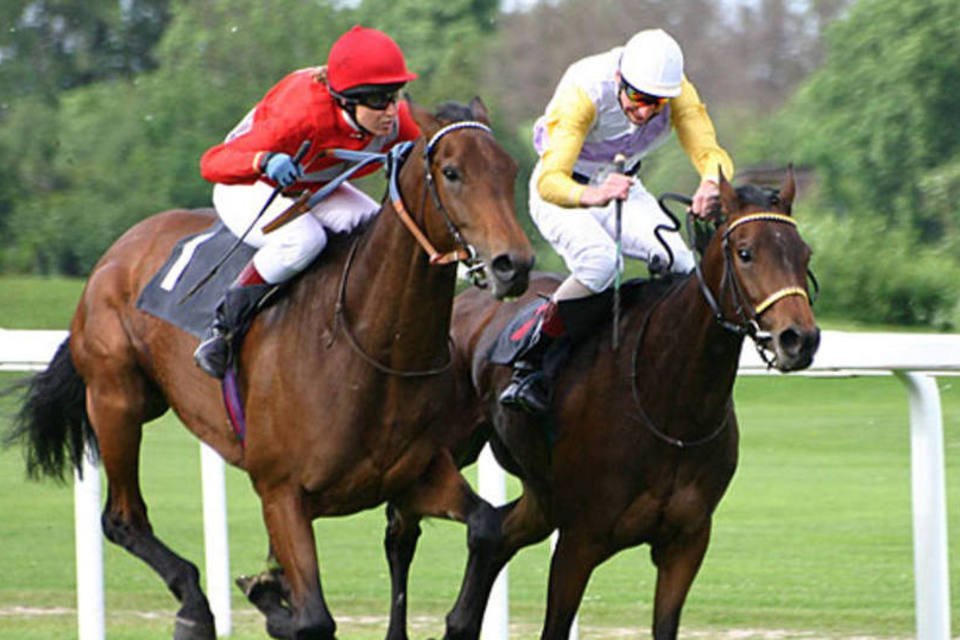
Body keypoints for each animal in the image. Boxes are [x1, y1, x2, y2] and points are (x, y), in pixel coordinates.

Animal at [5, 98, 535, 640]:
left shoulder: (417, 475)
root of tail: (118, 250)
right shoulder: (282, 493)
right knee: (122, 519)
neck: (371, 350)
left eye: (511, 170)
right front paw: (269, 599)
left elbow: (486, 527)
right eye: (452, 172)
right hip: (117, 398)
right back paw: (194, 607)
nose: (513, 265)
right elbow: (313, 619)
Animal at [383, 169, 821, 639]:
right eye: (746, 253)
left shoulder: (686, 541)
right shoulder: (579, 541)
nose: (800, 339)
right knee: (402, 531)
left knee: (491, 536)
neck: (669, 405)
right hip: (431, 452)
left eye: (804, 253)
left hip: (539, 497)